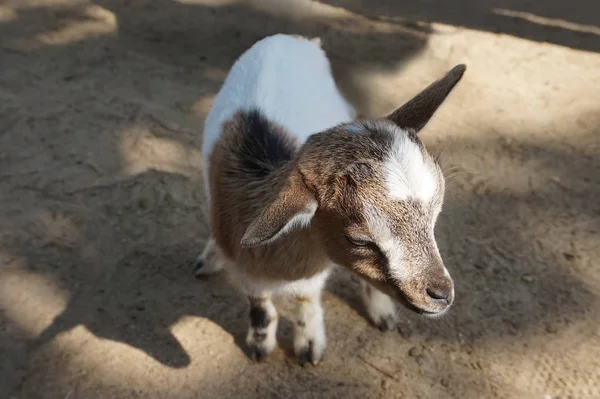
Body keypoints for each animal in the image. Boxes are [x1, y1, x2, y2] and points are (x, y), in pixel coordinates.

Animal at [195, 32, 466, 368]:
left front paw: (309, 344)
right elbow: (259, 304)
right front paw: (261, 345)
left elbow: (305, 297)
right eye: (359, 239)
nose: (441, 295)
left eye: (434, 216)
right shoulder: (246, 265)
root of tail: (292, 38)